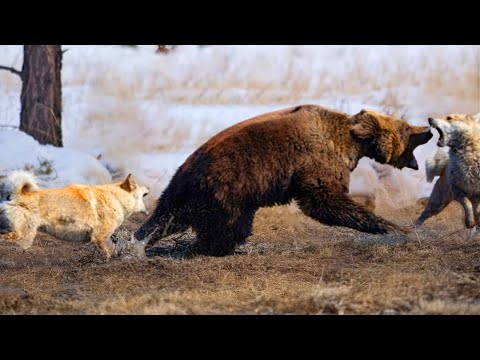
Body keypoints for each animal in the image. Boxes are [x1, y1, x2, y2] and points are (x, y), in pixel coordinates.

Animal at [0, 172, 149, 258]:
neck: (116, 198)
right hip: (23, 233)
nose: (148, 187)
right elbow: (109, 251)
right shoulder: (100, 237)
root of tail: (17, 195)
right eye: (138, 185)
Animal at [133, 104, 434, 256]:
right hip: (226, 189)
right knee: (229, 227)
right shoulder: (316, 158)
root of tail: (183, 174)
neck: (354, 144)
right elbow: (324, 201)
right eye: (407, 129)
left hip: (193, 194)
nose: (429, 129)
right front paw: (397, 227)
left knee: (170, 216)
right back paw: (209, 247)